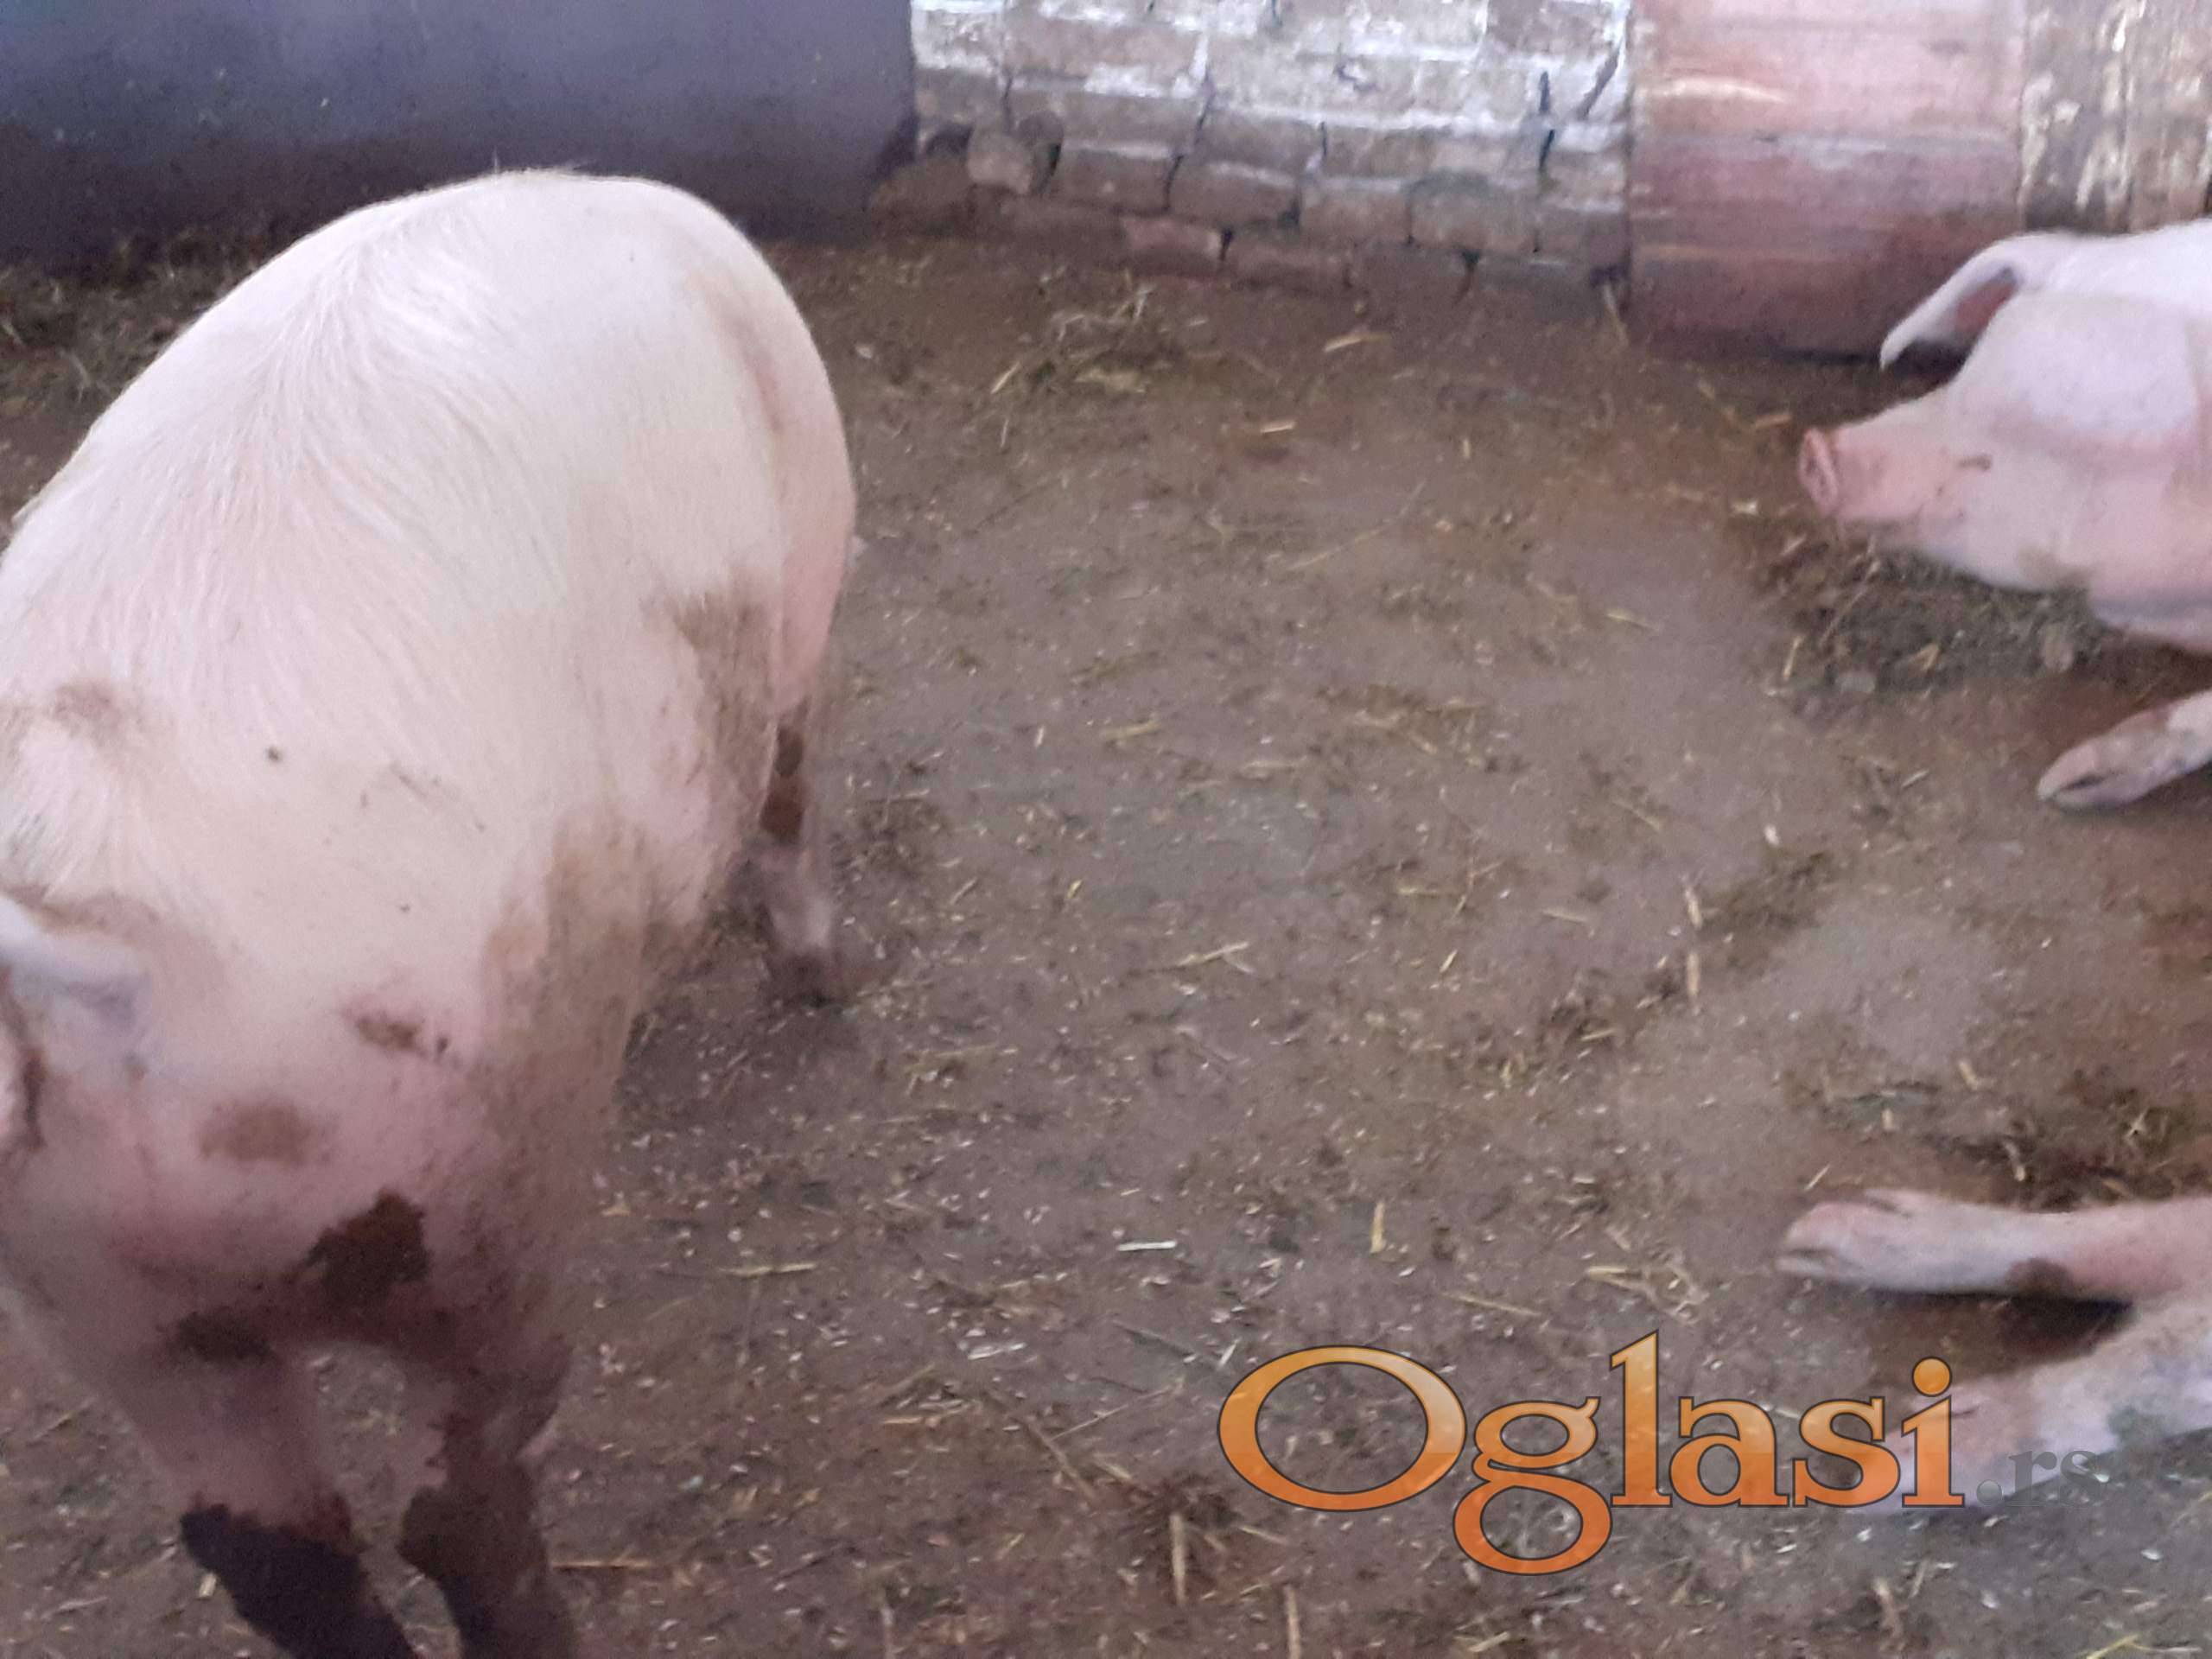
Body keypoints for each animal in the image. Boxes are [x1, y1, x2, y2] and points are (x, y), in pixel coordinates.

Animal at [0, 167, 855, 1657]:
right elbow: (794, 791)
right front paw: (823, 976)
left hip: (106, 1301)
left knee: (272, 1553)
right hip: (471, 1196)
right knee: (460, 1510)